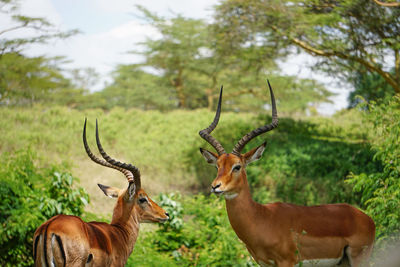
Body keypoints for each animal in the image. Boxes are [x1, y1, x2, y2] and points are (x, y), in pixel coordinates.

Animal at [198, 81, 374, 267]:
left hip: (359, 259)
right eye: (217, 166)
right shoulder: (264, 263)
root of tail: (367, 219)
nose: (215, 186)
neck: (263, 218)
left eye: (237, 166)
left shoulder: (286, 261)